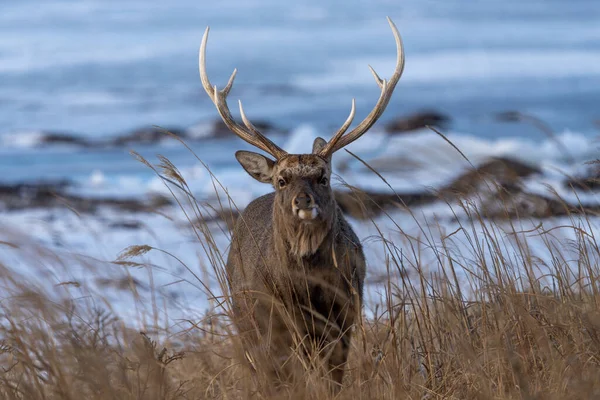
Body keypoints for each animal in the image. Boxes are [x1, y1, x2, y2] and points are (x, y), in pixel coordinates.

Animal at [199, 18, 406, 390]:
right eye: (282, 179)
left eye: (322, 176)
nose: (303, 200)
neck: (307, 288)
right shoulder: (275, 320)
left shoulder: (345, 314)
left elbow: (332, 378)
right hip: (244, 315)